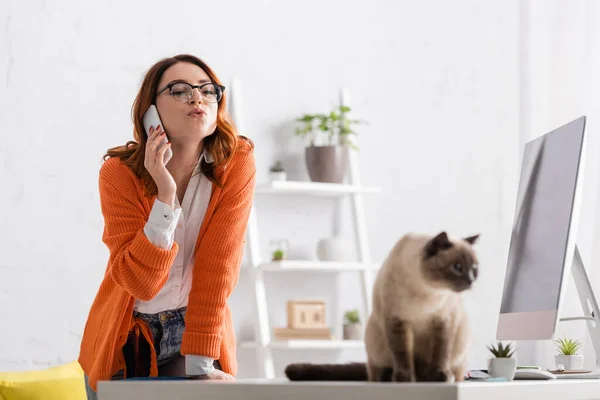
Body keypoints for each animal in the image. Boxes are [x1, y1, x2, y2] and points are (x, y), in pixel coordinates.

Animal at [284, 233, 478, 382]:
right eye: (457, 267)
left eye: (475, 268)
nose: (471, 281)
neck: (428, 292)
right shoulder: (397, 320)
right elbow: (402, 354)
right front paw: (405, 379)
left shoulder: (444, 322)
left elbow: (441, 353)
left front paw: (440, 376)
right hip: (374, 336)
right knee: (374, 371)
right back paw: (391, 376)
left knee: (454, 371)